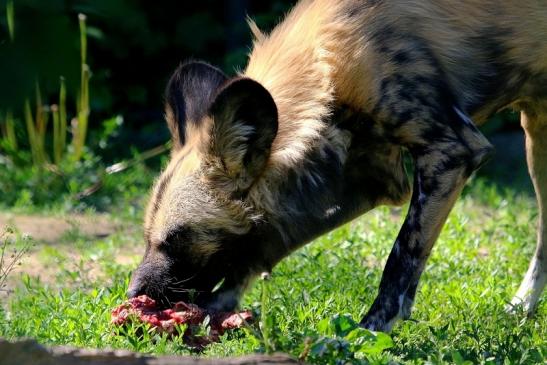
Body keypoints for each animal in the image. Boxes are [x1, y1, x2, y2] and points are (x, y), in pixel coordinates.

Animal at [130, 0, 547, 330]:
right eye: (148, 237)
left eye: (179, 238)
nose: (133, 291)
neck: (326, 65)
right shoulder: (365, 179)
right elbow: (264, 246)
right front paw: (216, 309)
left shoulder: (451, 151)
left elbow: (399, 261)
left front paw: (368, 333)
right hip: (536, 136)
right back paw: (522, 309)